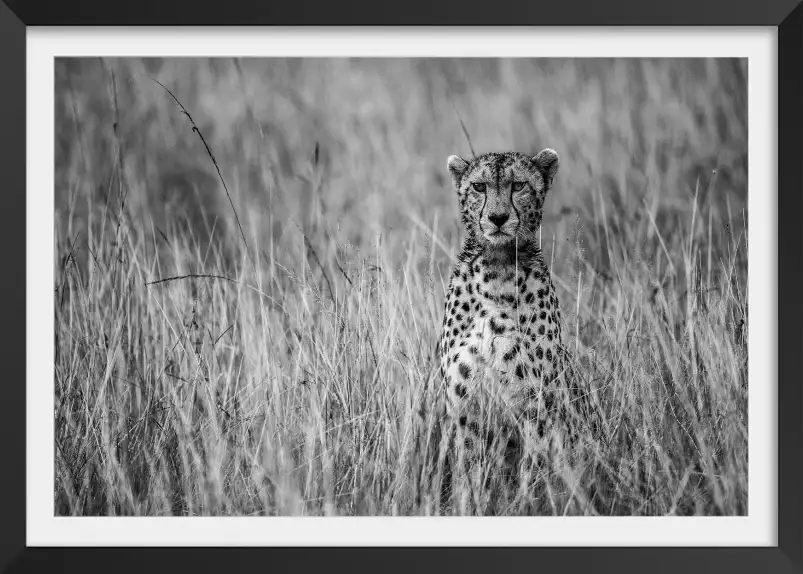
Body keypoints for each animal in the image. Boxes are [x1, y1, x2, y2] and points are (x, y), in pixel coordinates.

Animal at [436, 150, 592, 482]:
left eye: (518, 185)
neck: (497, 265)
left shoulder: (537, 404)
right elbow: (469, 469)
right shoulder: (465, 407)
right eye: (479, 186)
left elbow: (534, 471)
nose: (498, 218)